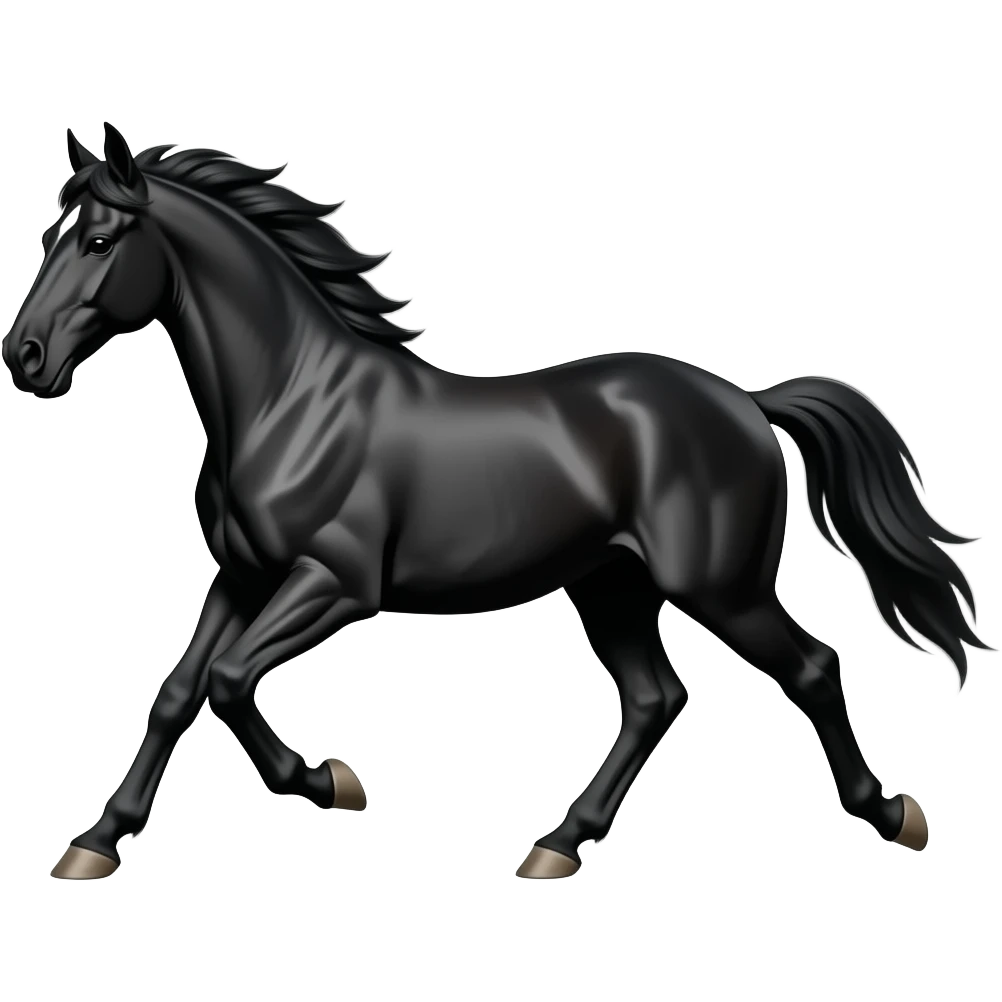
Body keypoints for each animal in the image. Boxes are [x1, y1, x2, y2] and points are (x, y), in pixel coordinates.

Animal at [6, 125, 993, 882]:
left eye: (99, 242)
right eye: (51, 235)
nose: (24, 357)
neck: (292, 398)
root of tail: (748, 403)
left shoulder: (335, 584)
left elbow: (227, 681)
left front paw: (333, 782)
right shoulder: (243, 578)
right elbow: (177, 693)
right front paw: (93, 845)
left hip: (721, 588)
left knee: (813, 668)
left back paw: (896, 816)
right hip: (611, 587)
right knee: (655, 698)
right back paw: (557, 846)